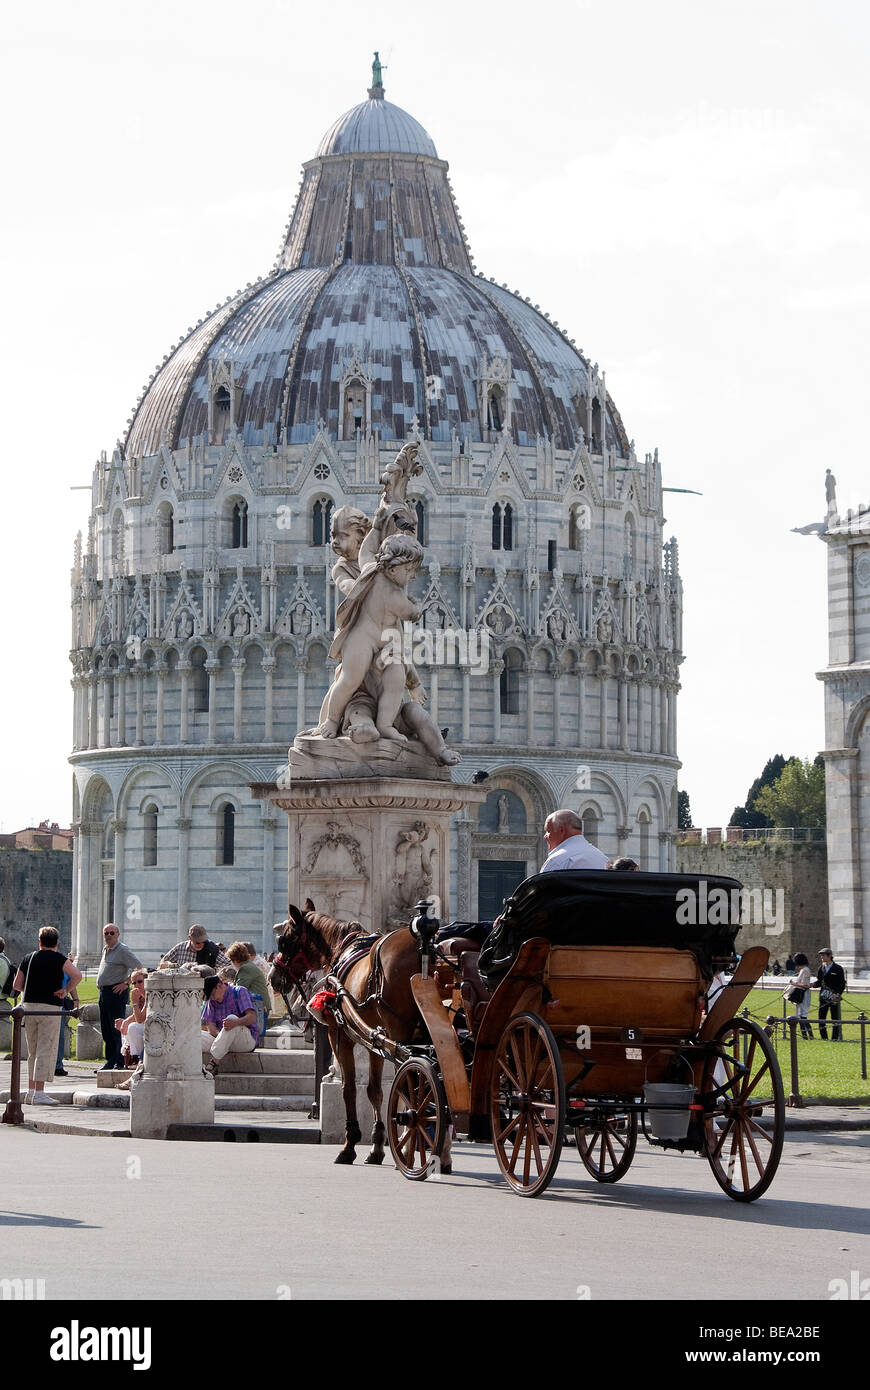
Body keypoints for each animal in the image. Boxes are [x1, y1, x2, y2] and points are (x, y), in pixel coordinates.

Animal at [268, 900, 422, 1162]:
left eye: (285, 941)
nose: (273, 977)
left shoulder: (340, 1036)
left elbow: (348, 1089)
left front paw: (350, 1144)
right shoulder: (374, 1040)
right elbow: (374, 1090)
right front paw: (376, 1145)